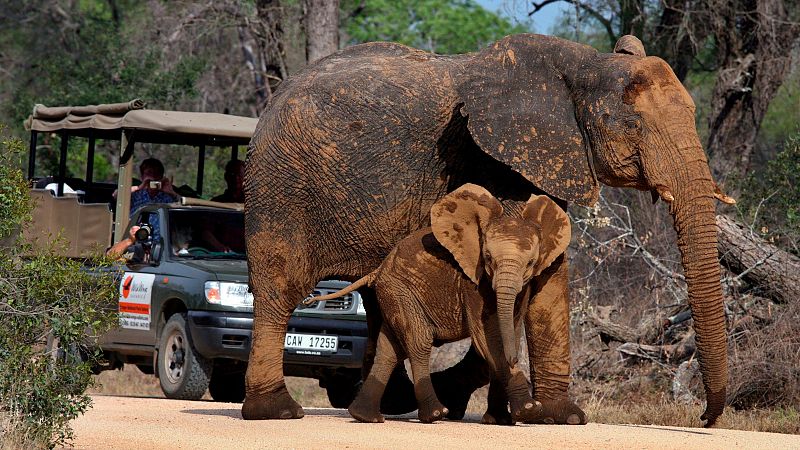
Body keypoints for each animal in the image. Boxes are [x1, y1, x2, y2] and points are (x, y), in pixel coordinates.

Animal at [310, 184, 568, 426]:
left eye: (531, 263)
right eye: (487, 259)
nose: (516, 361)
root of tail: (378, 270)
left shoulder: (523, 286)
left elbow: (508, 331)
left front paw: (502, 420)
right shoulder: (472, 284)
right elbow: (489, 338)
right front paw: (529, 410)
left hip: (392, 294)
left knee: (390, 347)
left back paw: (365, 416)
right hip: (400, 290)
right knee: (418, 341)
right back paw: (435, 414)